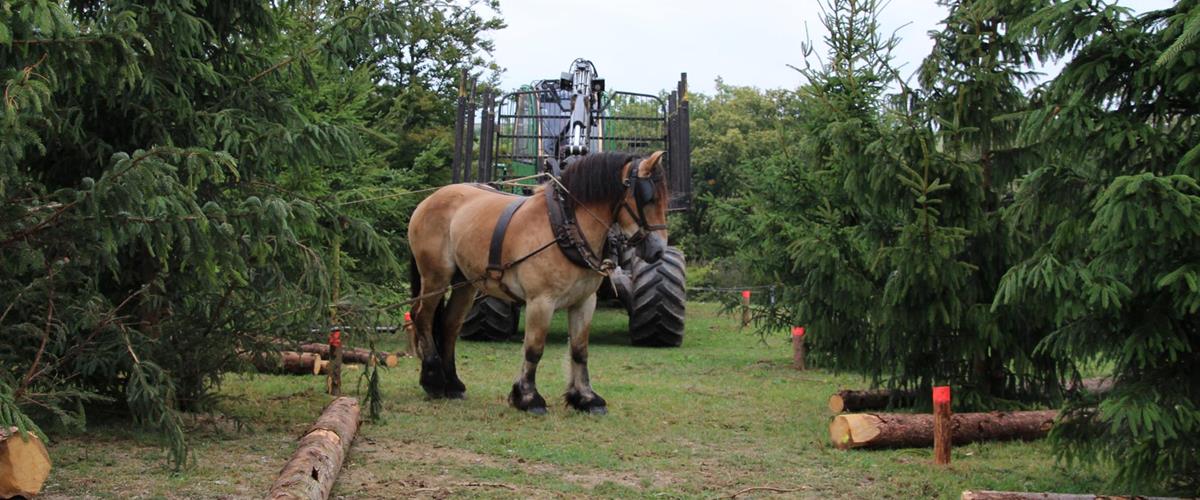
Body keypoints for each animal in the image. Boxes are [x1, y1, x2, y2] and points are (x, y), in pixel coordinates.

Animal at [408, 151, 672, 412]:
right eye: (648, 198)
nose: (659, 250)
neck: (566, 225)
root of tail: (429, 199)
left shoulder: (585, 301)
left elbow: (580, 350)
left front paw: (585, 397)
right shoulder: (541, 301)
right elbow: (534, 349)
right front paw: (527, 397)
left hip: (466, 284)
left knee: (450, 325)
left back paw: (453, 385)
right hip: (435, 277)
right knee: (423, 317)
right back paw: (433, 379)